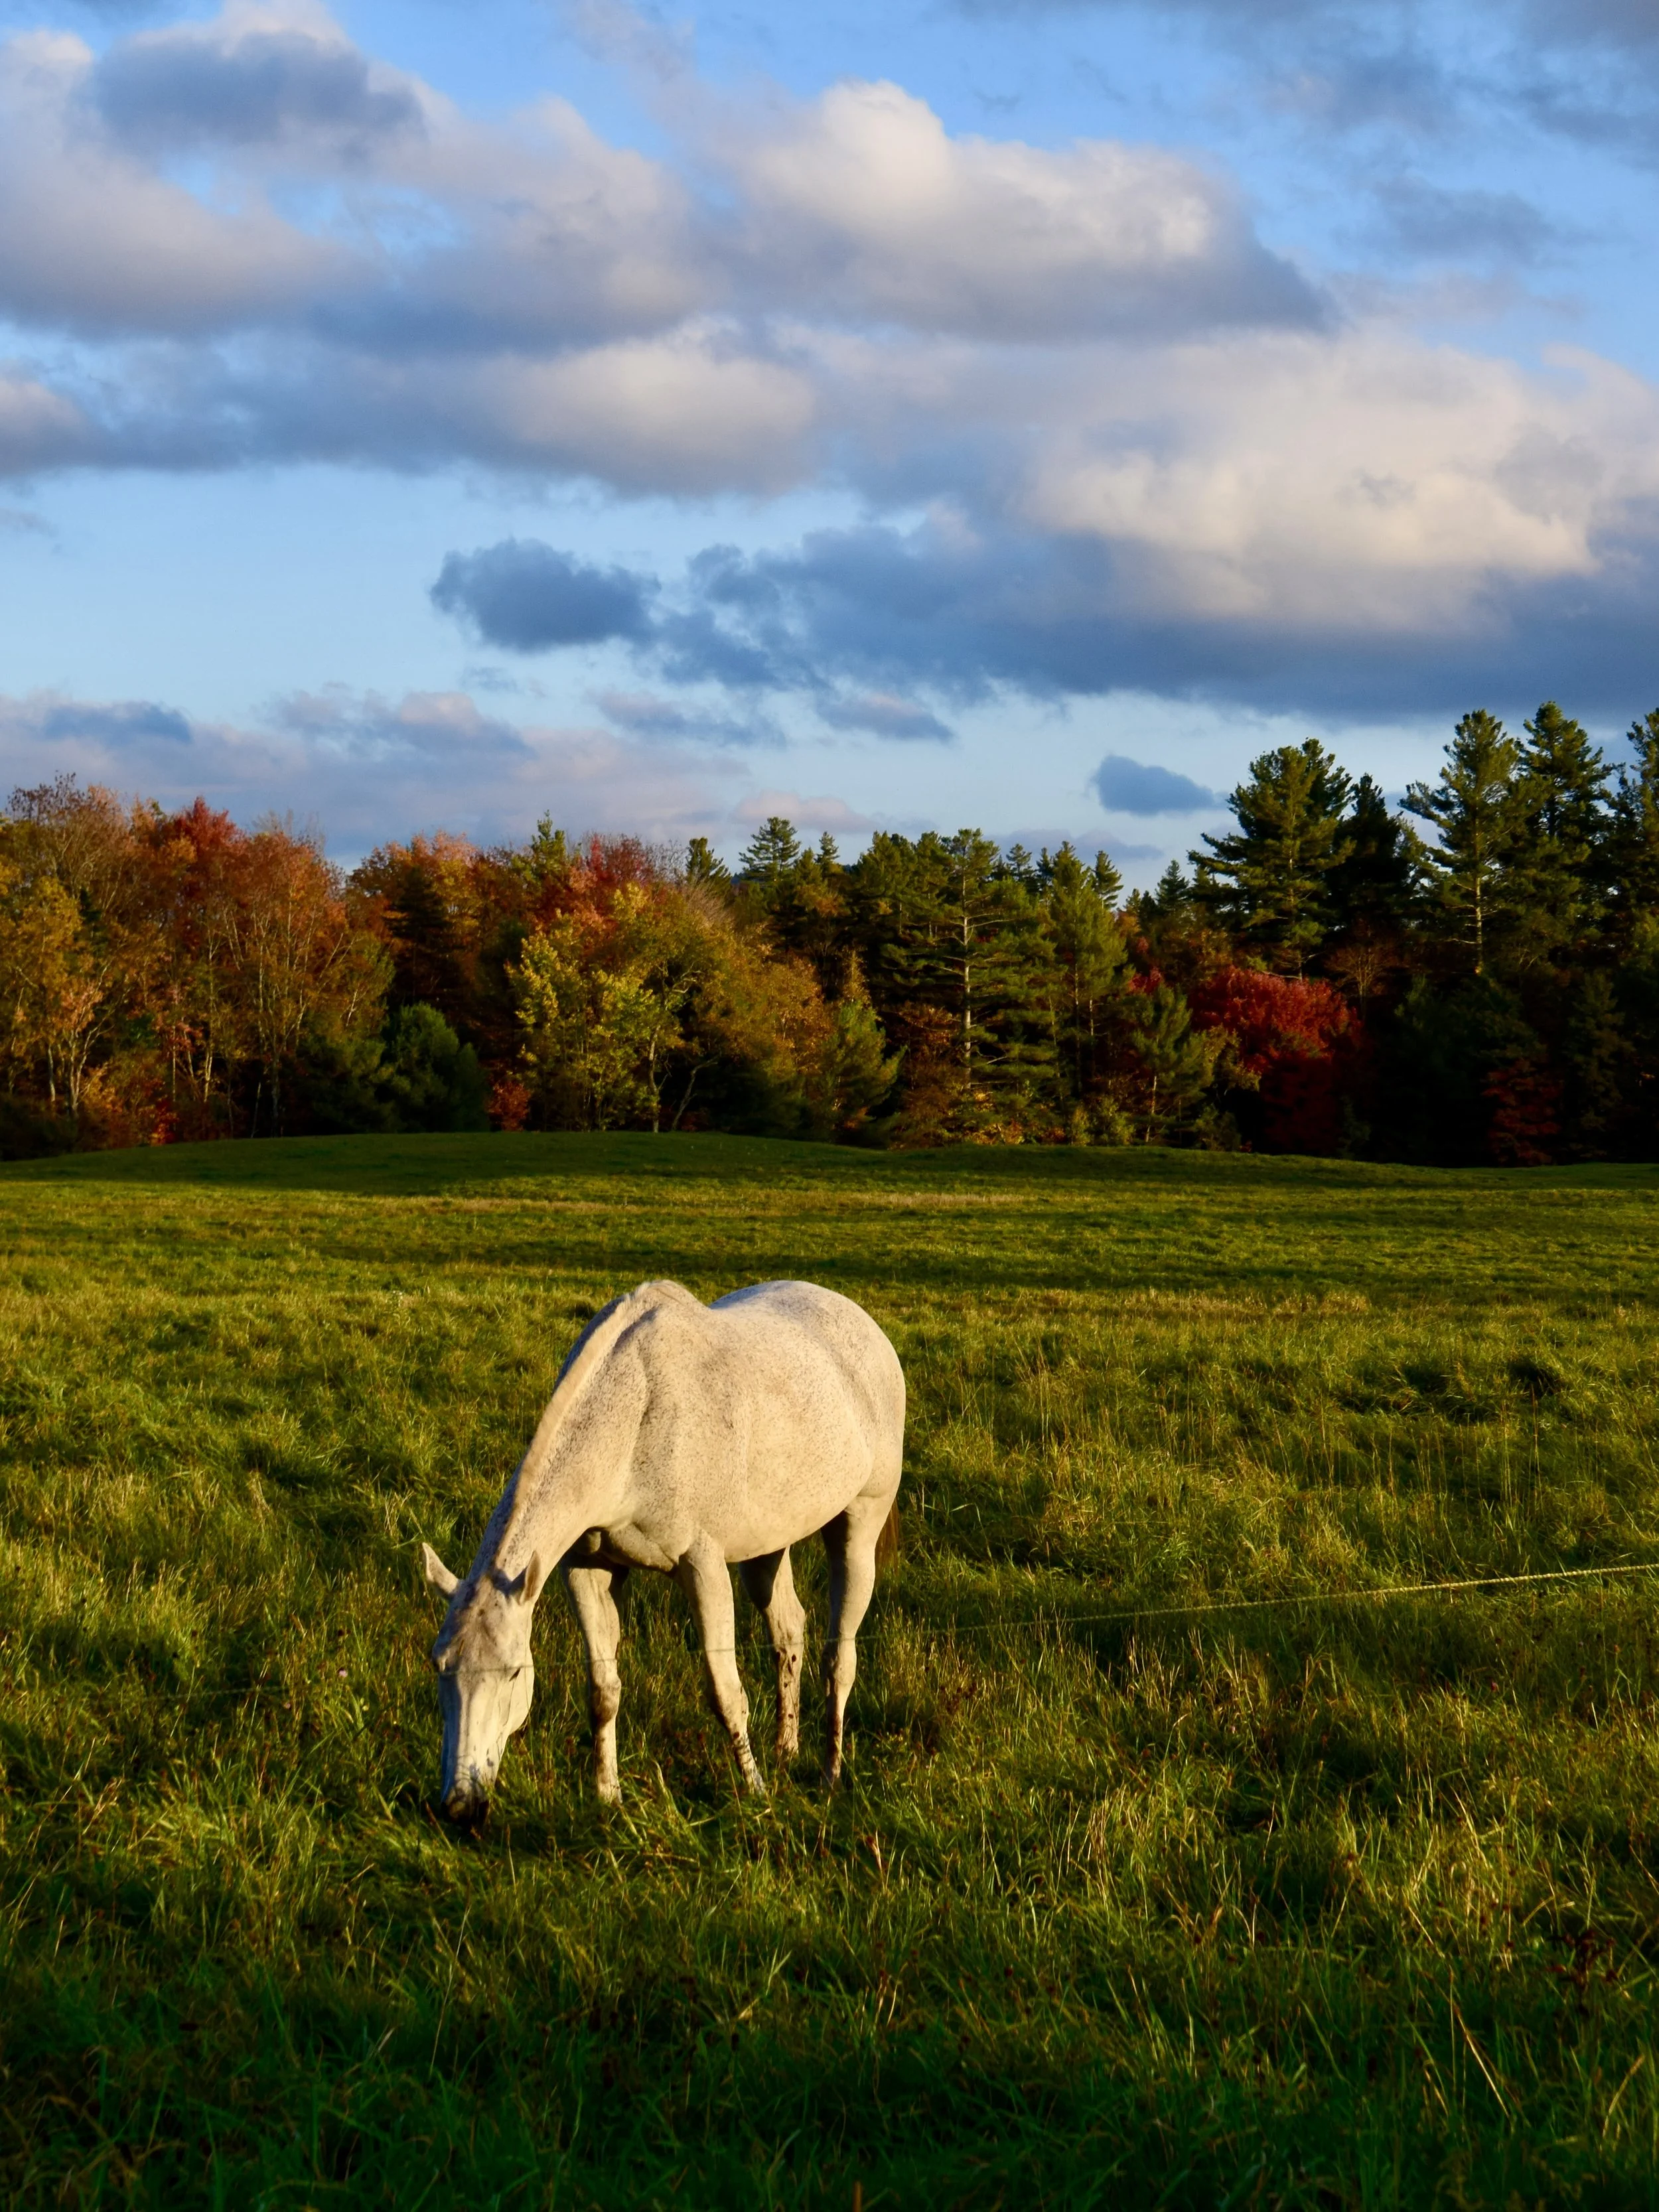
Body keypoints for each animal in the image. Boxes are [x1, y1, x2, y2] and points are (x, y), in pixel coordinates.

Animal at [420, 1276, 905, 1821]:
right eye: (439, 1667)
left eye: (512, 1673)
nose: (460, 1805)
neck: (635, 1421)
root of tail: (863, 1322)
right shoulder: (586, 1569)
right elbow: (603, 1690)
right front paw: (607, 1794)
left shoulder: (703, 1567)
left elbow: (726, 1692)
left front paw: (755, 1792)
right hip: (767, 1546)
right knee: (788, 1633)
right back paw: (786, 1751)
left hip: (859, 1524)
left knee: (839, 1658)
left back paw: (829, 1775)